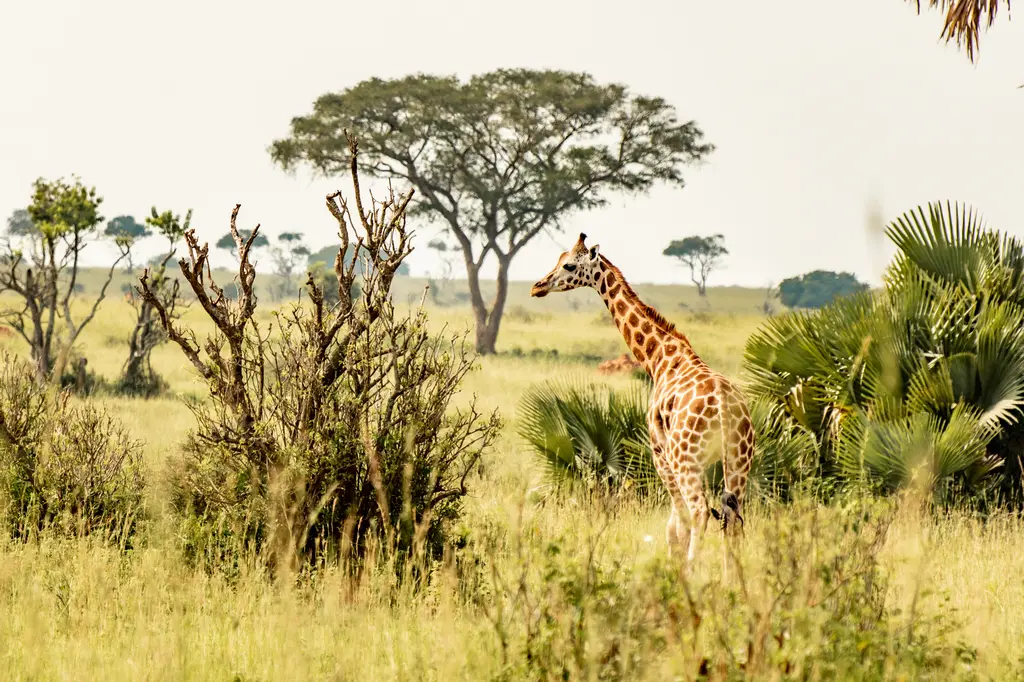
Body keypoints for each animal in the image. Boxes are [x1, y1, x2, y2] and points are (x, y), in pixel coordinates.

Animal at [530, 233, 755, 566]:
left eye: (569, 264)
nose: (537, 286)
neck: (659, 358)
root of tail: (726, 410)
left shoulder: (659, 453)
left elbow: (676, 526)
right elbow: (677, 525)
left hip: (686, 460)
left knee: (700, 512)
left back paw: (692, 570)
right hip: (739, 460)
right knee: (733, 520)